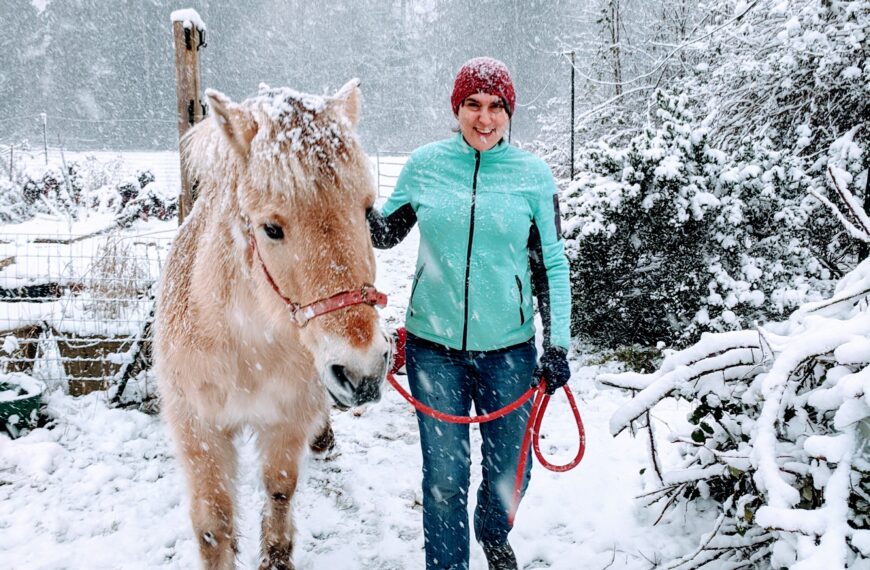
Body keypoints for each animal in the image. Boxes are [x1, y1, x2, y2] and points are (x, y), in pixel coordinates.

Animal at [153, 79, 390, 570]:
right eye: (271, 229)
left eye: (367, 211)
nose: (362, 371)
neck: (245, 347)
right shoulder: (197, 429)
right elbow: (213, 524)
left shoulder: (287, 417)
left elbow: (280, 489)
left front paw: (276, 556)